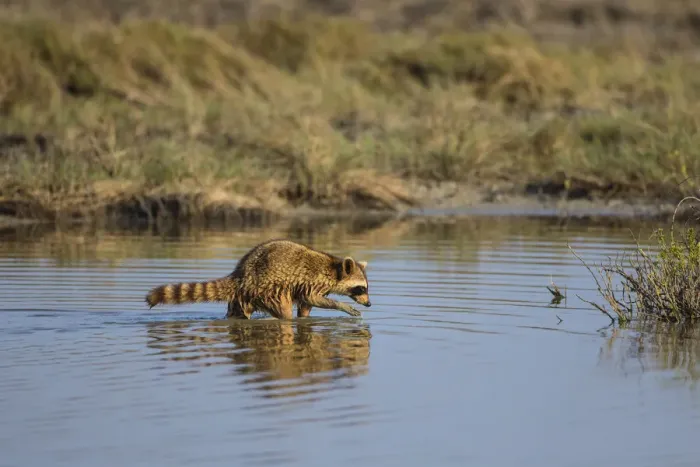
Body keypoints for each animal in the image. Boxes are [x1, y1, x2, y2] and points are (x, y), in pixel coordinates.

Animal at [145, 239, 372, 319]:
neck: (334, 268)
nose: (369, 304)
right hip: (267, 289)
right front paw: (342, 305)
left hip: (243, 297)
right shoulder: (313, 281)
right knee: (284, 312)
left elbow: (306, 305)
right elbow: (313, 299)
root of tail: (240, 274)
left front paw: (305, 319)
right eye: (361, 289)